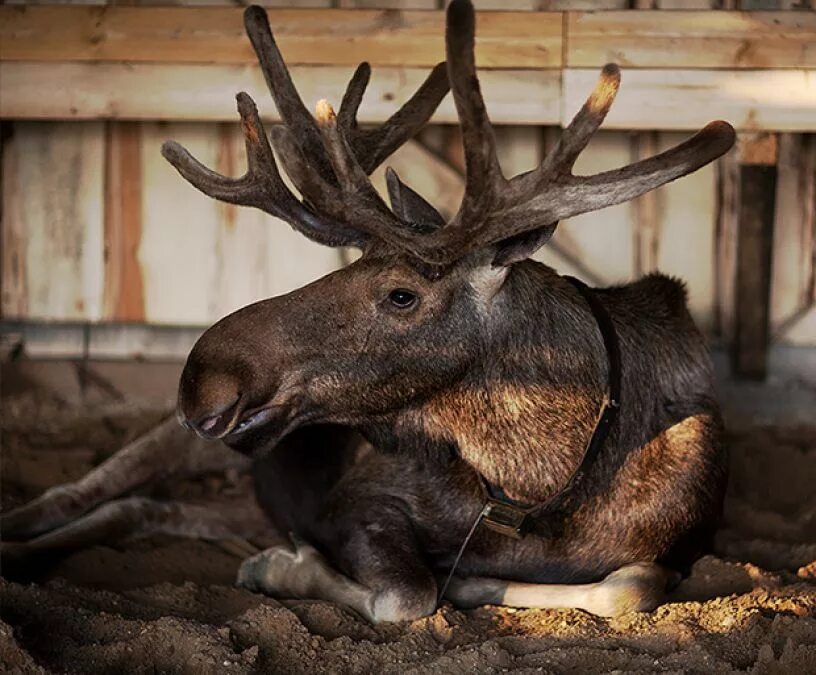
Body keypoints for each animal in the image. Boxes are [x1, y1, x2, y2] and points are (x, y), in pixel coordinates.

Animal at [0, 1, 736, 624]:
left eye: (401, 293)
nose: (202, 375)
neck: (542, 481)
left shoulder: (678, 548)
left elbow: (629, 584)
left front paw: (474, 580)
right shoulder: (356, 501)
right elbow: (406, 595)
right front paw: (282, 568)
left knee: (138, 508)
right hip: (183, 442)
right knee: (78, 492)